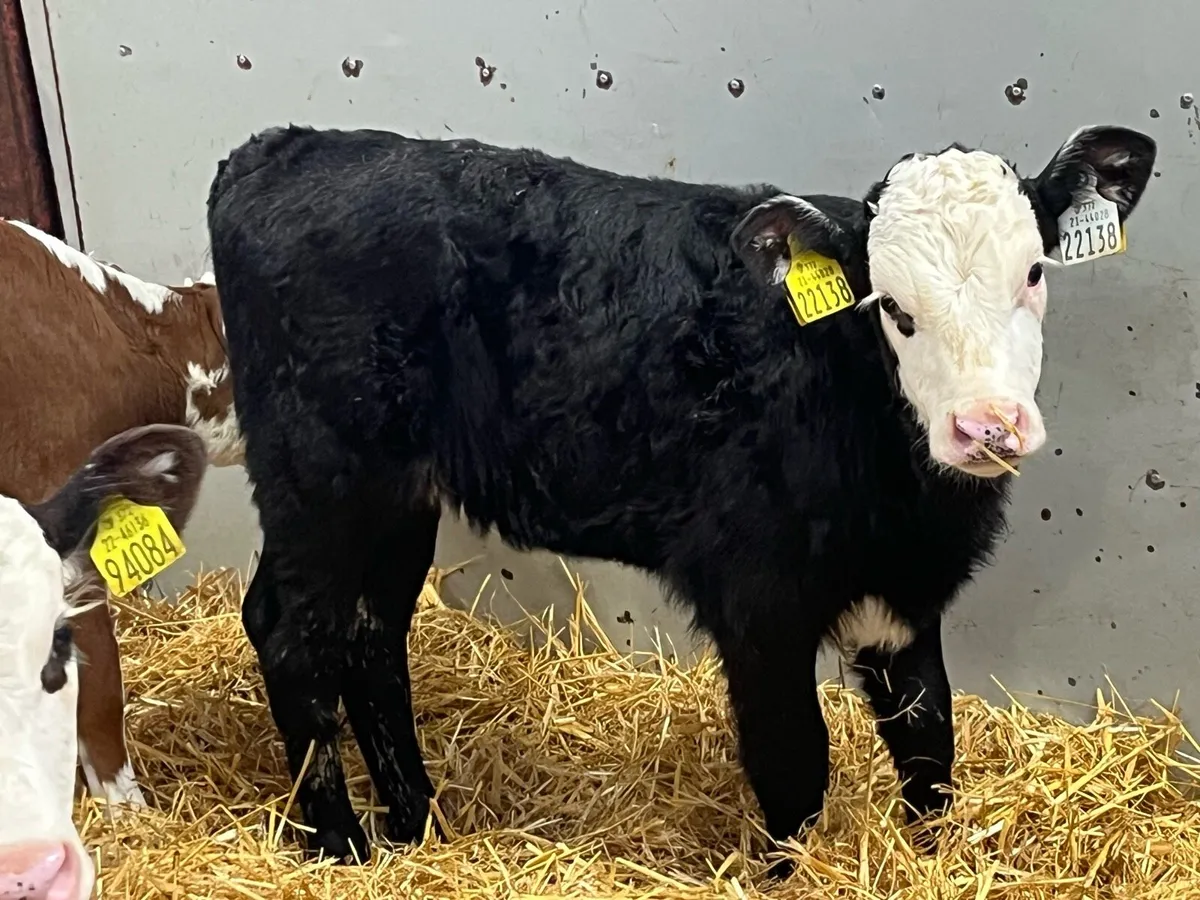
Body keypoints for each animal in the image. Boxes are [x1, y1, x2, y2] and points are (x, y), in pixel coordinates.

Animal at [206, 123, 1156, 866]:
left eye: (1033, 273)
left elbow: (930, 746)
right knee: (290, 633)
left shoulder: (904, 600)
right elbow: (793, 764)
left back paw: (417, 824)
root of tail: (278, 149)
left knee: (371, 638)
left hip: (396, 498)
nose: (986, 426)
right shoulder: (759, 602)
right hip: (320, 475)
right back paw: (341, 843)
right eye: (892, 308)